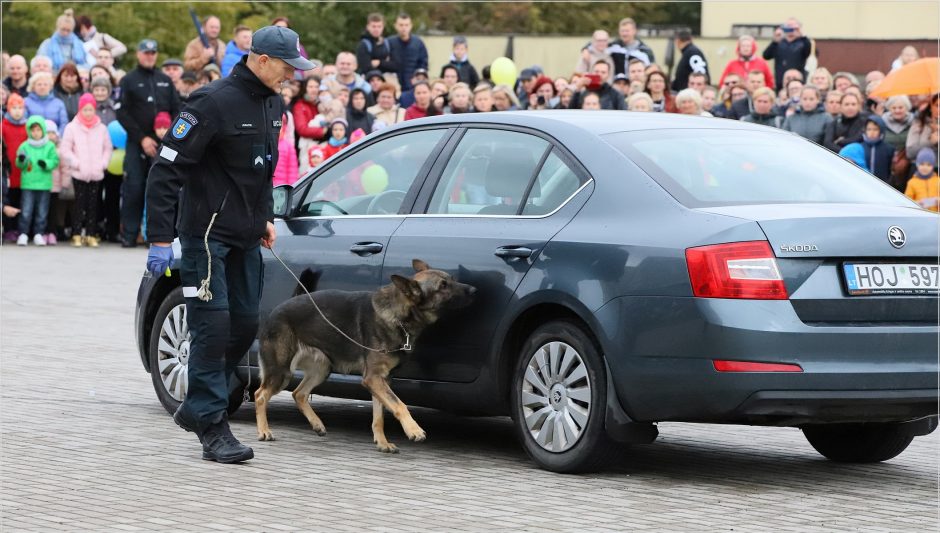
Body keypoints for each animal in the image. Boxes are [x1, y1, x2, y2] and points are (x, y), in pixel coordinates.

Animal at [255, 260, 478, 450]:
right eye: (443, 286)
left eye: (452, 279)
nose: (474, 290)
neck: (398, 314)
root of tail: (282, 306)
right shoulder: (373, 378)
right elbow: (399, 404)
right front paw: (413, 430)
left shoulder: (381, 380)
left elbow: (379, 416)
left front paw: (382, 442)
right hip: (281, 372)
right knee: (260, 395)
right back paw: (264, 431)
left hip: (322, 369)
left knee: (298, 393)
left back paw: (316, 424)